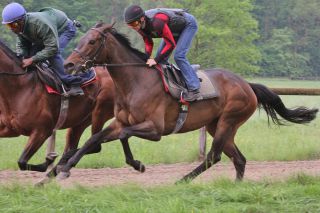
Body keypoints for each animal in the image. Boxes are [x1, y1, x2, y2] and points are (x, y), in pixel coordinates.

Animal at [0, 38, 144, 173]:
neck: (20, 87)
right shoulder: (9, 129)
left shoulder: (42, 130)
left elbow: (22, 161)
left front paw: (49, 160)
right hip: (80, 121)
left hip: (100, 111)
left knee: (95, 144)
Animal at [59, 21, 318, 181]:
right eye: (82, 38)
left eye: (92, 41)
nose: (69, 64)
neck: (136, 81)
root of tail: (247, 85)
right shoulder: (121, 121)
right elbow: (96, 138)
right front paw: (65, 167)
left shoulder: (155, 129)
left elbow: (121, 135)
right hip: (217, 125)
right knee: (239, 159)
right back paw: (235, 185)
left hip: (228, 120)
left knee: (214, 156)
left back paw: (183, 180)